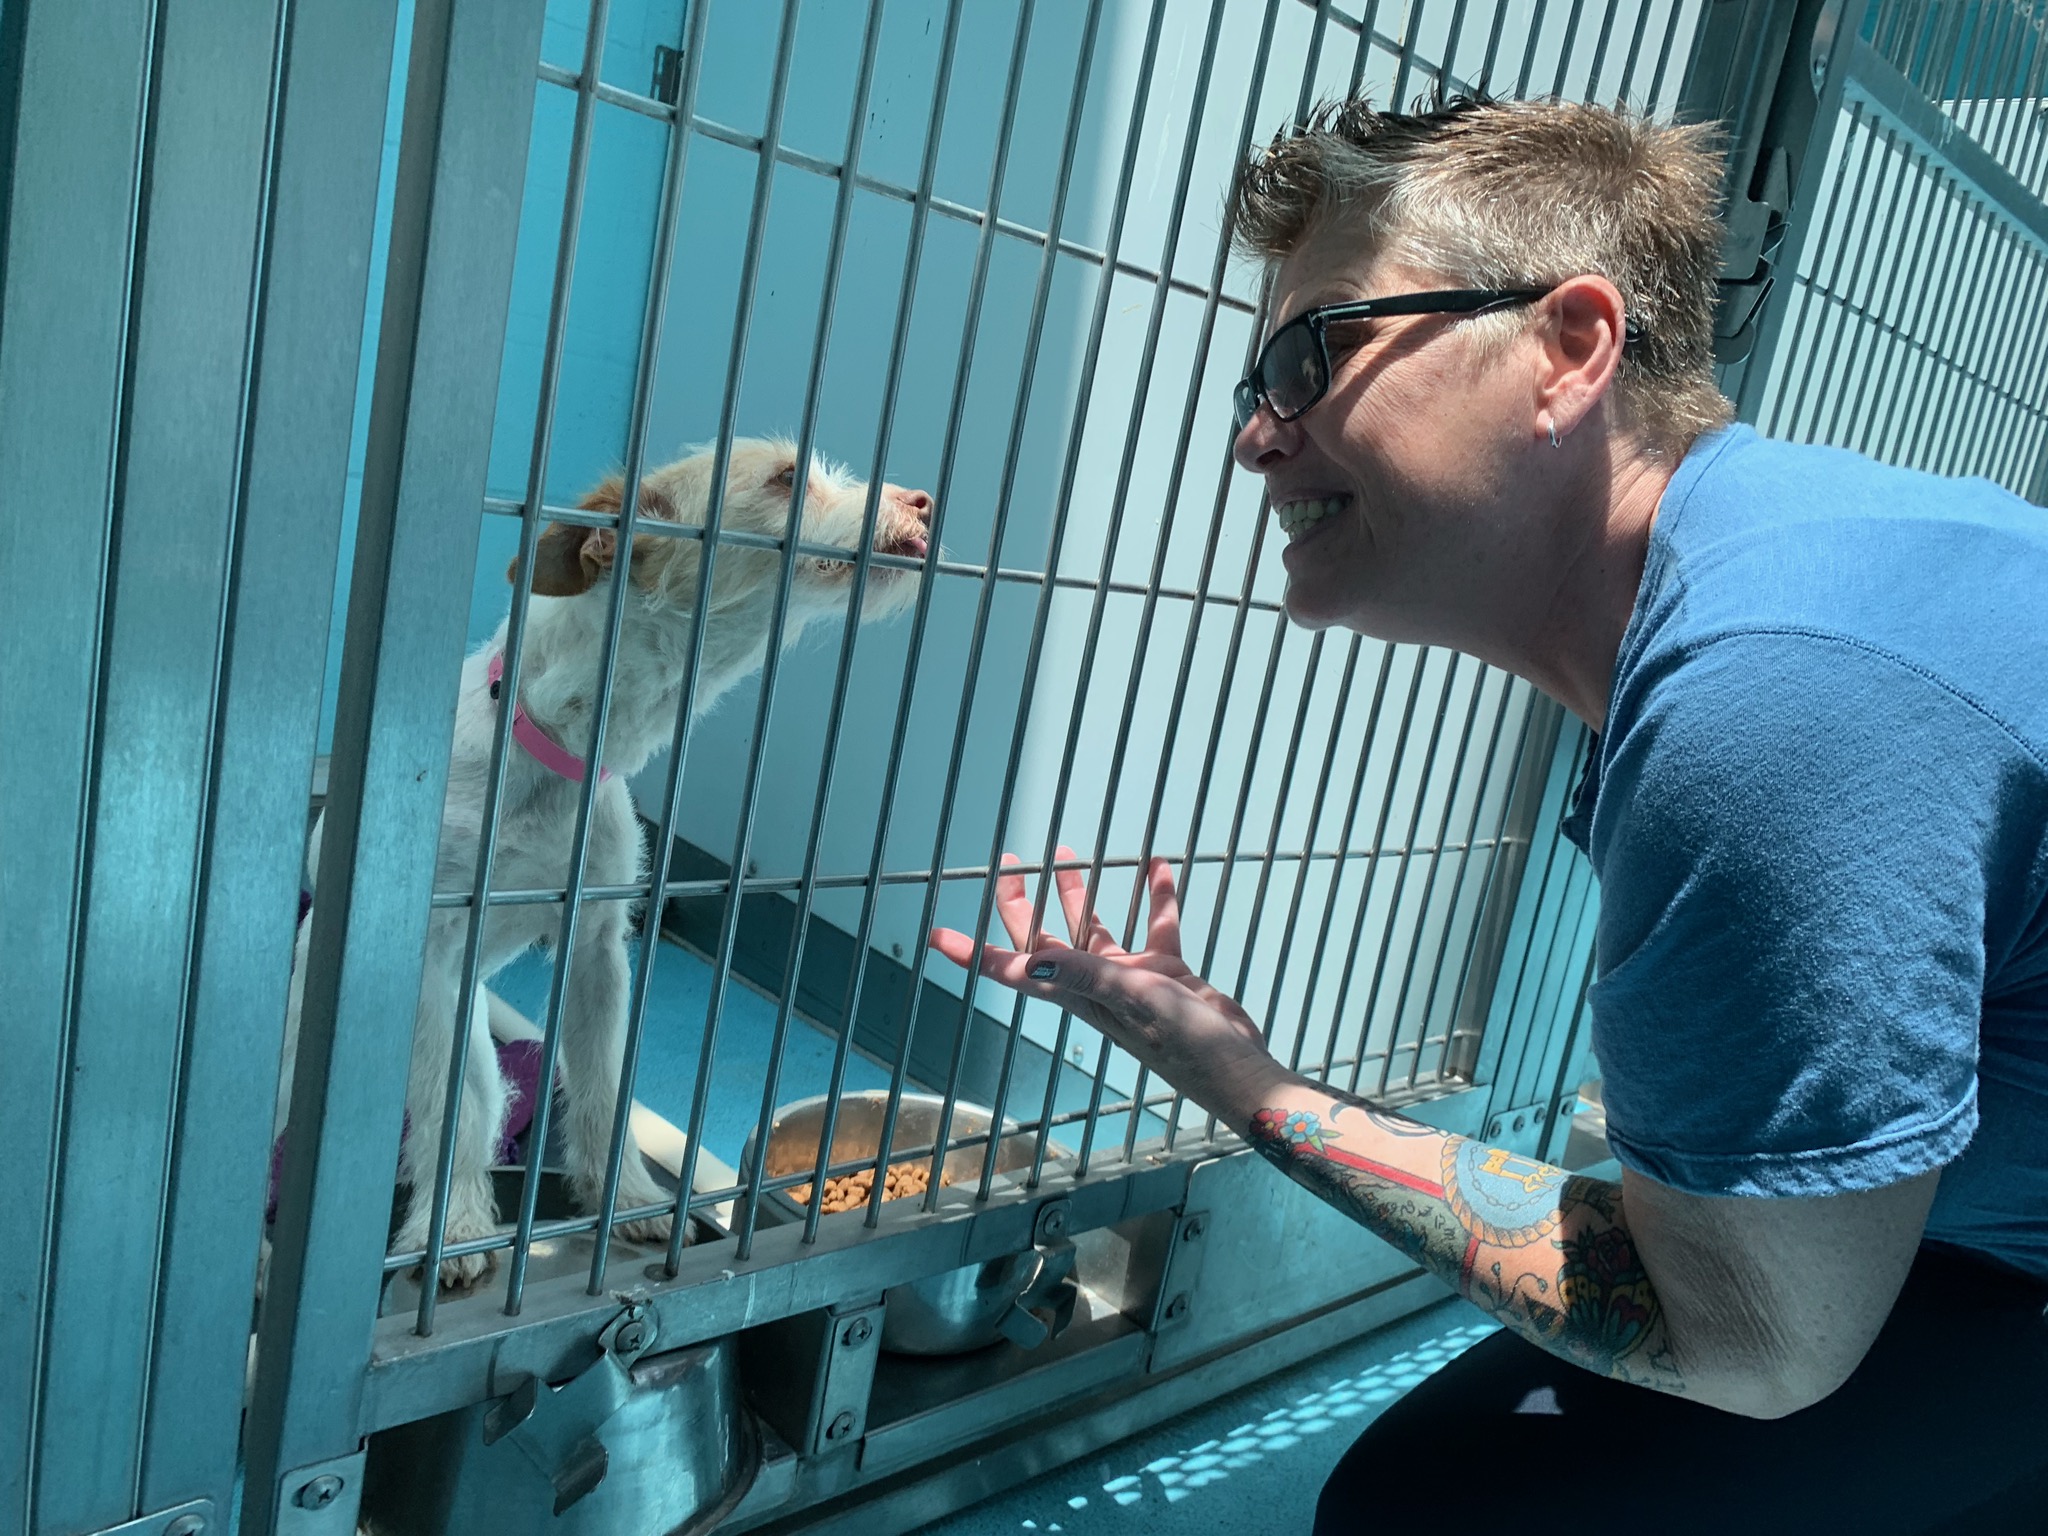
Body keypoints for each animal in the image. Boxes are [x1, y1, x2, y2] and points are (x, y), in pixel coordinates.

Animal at [276, 438, 933, 1294]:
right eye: (788, 477)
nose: (923, 501)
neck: (556, 744)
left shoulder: (595, 950)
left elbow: (601, 1088)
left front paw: (626, 1199)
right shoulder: (431, 961)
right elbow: (458, 1108)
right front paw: (451, 1228)